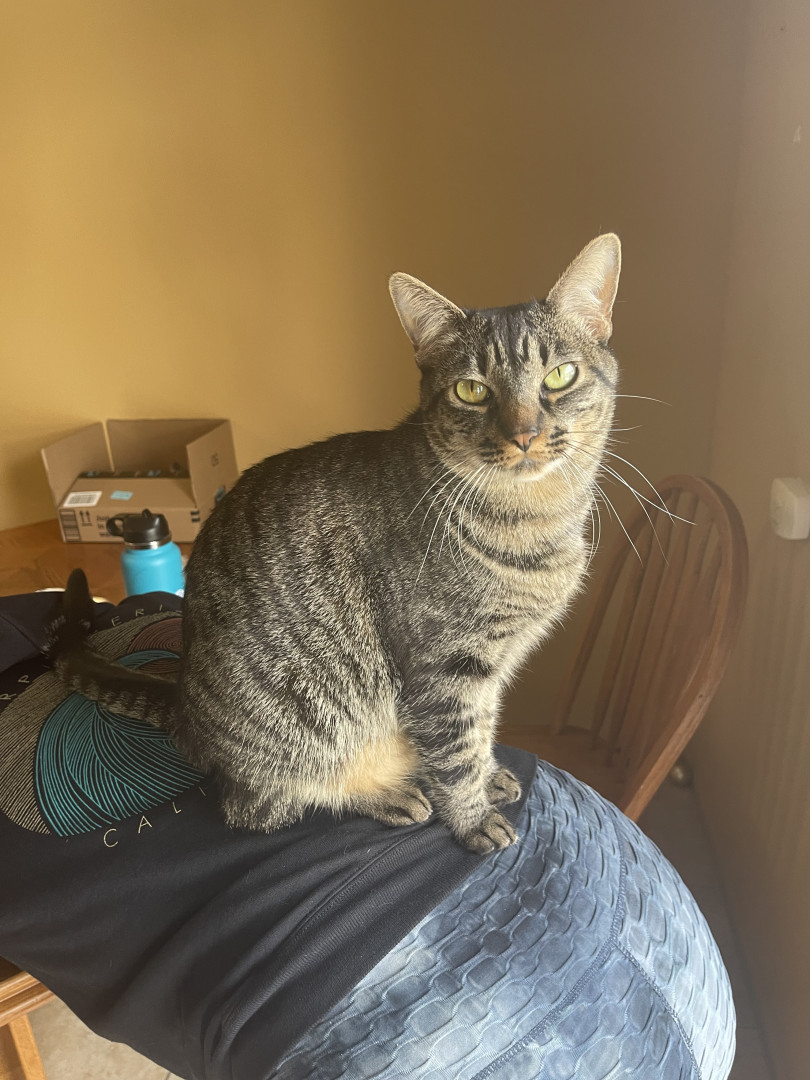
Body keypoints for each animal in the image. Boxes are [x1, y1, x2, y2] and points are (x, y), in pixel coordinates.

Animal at [52, 233, 621, 853]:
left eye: (560, 376)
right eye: (472, 390)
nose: (524, 435)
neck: (538, 518)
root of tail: (184, 711)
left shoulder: (489, 671)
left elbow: (482, 731)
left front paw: (489, 772)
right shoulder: (447, 668)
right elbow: (456, 752)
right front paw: (471, 818)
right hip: (298, 732)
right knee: (263, 804)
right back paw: (387, 793)